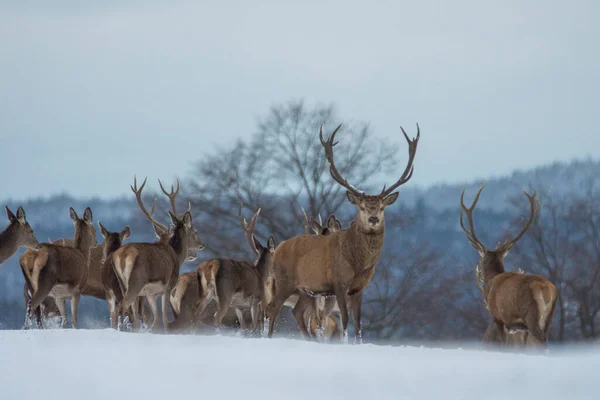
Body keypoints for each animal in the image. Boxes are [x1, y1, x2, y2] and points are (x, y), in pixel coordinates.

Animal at [112, 177, 204, 330]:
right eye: (195, 231)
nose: (201, 245)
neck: (176, 255)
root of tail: (122, 256)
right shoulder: (168, 286)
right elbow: (164, 319)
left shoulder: (151, 293)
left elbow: (156, 320)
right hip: (136, 281)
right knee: (121, 306)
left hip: (122, 284)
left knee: (126, 312)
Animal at [264, 123, 420, 342]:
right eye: (362, 207)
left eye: (382, 208)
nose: (373, 219)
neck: (358, 263)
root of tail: (278, 248)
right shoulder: (339, 283)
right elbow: (345, 319)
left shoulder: (360, 288)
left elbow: (358, 323)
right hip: (284, 281)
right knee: (272, 308)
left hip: (305, 290)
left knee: (296, 311)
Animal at [462, 184, 560, 346]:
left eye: (481, 259)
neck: (490, 283)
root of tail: (547, 289)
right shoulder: (521, 329)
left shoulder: (498, 318)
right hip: (549, 318)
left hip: (531, 314)